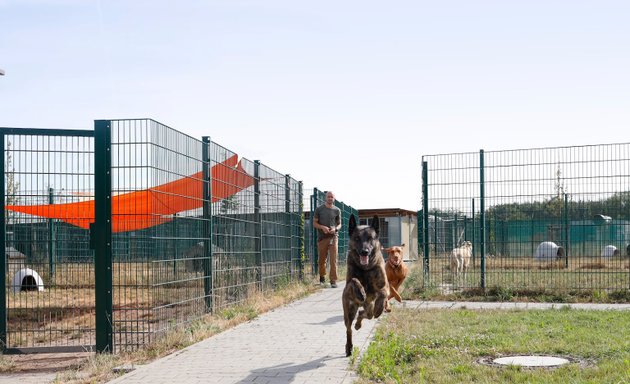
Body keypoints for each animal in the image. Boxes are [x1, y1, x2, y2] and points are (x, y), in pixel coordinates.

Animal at [344, 214, 388, 356]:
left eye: (370, 238)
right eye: (357, 238)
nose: (365, 251)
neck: (365, 268)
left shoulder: (384, 285)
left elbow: (383, 293)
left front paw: (380, 308)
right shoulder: (347, 284)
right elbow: (354, 280)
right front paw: (360, 291)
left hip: (368, 308)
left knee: (365, 314)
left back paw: (359, 323)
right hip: (349, 312)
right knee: (349, 329)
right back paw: (349, 346)